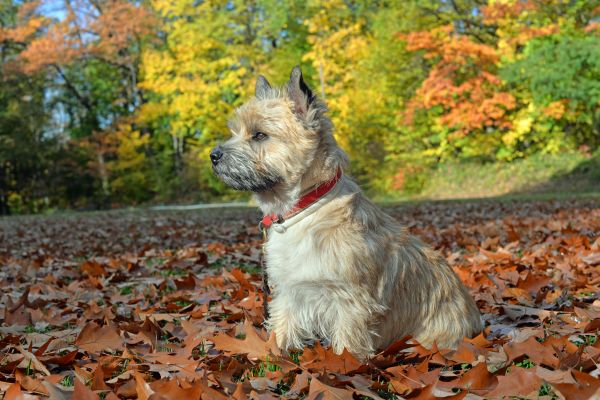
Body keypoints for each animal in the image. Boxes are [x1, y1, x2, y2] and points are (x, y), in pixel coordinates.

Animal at [211, 65, 482, 360]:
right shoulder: (289, 291)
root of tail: (476, 324)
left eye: (259, 135)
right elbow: (284, 324)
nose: (213, 155)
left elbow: (347, 345)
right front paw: (276, 353)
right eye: (235, 131)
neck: (301, 209)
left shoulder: (350, 300)